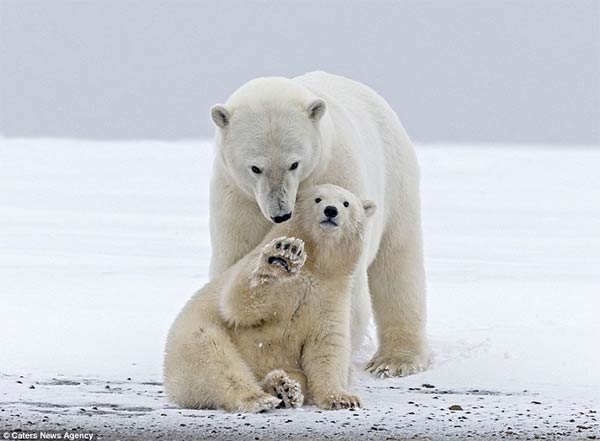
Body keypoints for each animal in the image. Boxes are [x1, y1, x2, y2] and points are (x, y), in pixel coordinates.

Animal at [162, 184, 372, 410]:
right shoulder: (273, 279)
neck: (316, 265)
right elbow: (239, 304)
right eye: (318, 199)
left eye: (346, 203)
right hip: (193, 340)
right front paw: (282, 256)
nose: (331, 210)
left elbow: (327, 346)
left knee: (295, 375)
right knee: (215, 358)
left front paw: (342, 398)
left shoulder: (330, 295)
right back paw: (258, 397)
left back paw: (284, 388)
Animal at [209, 69, 428, 374]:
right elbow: (236, 267)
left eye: (294, 163)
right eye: (255, 167)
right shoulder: (238, 201)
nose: (280, 214)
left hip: (396, 181)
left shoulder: (336, 175)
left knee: (397, 264)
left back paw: (395, 360)